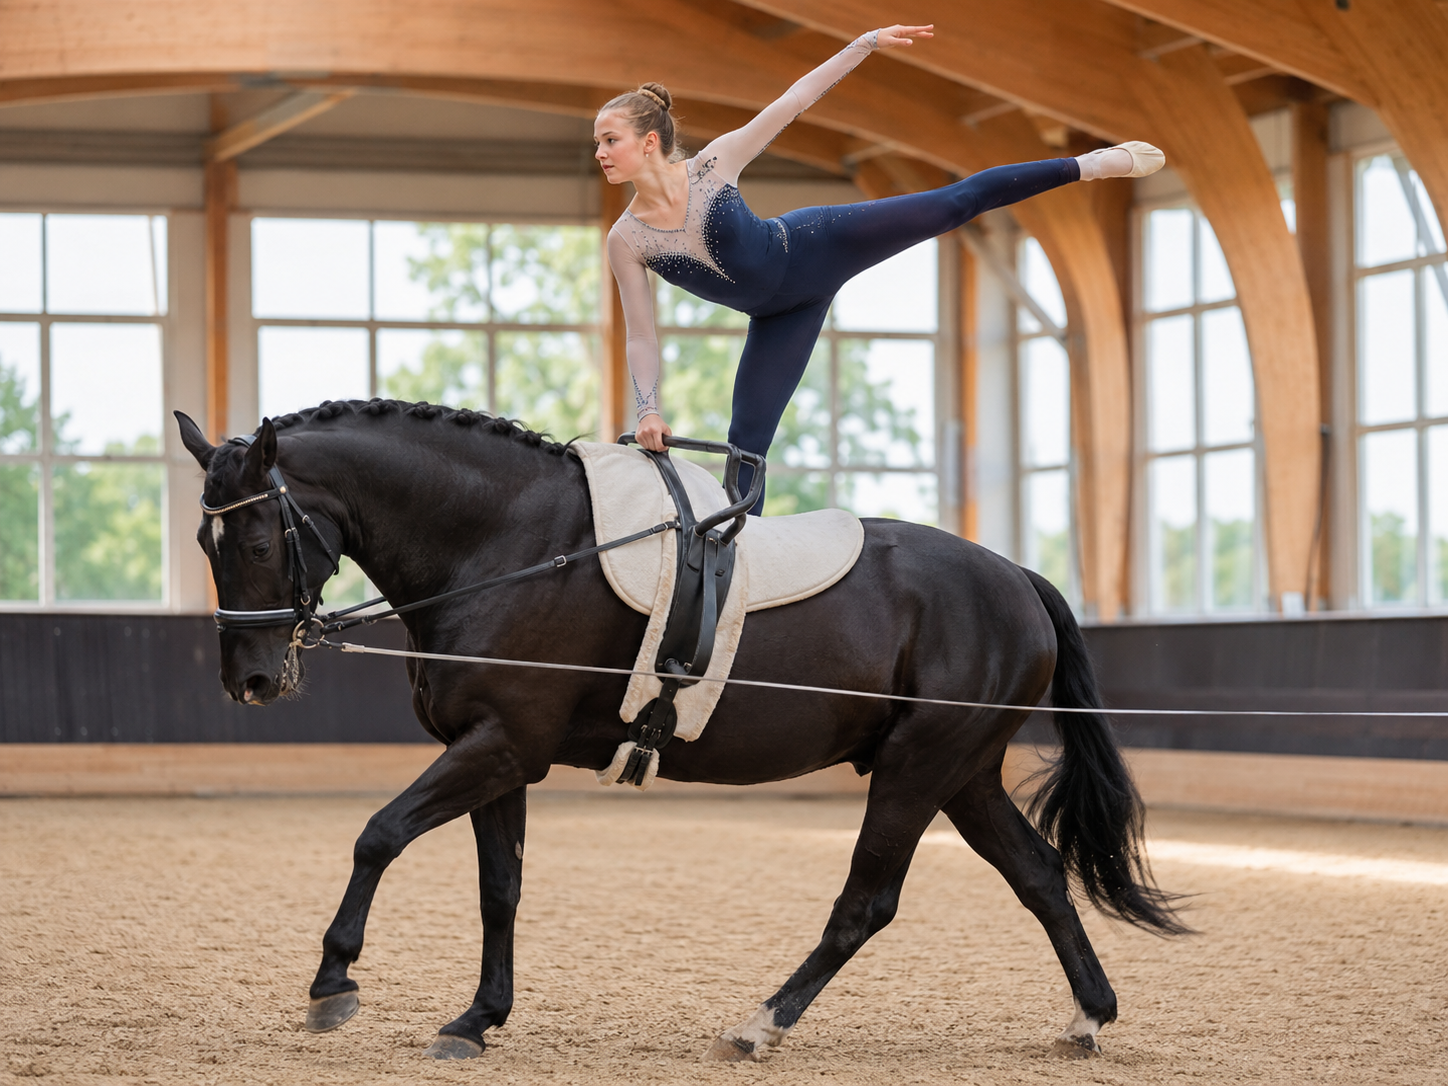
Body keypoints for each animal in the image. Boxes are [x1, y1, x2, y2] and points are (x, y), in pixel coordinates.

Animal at [174, 400, 1184, 1063]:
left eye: (255, 542)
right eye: (203, 545)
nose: (251, 681)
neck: (507, 544)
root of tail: (1017, 577)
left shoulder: (501, 744)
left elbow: (378, 834)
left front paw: (333, 983)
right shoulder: (501, 756)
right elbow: (500, 889)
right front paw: (477, 1019)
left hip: (917, 768)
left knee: (868, 902)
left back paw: (761, 1023)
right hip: (962, 774)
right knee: (1039, 877)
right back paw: (1091, 1016)